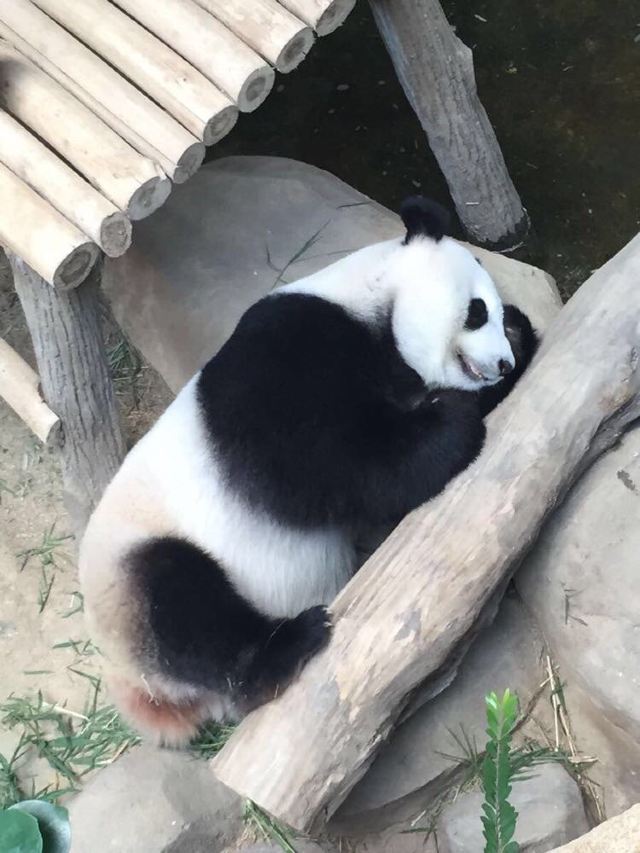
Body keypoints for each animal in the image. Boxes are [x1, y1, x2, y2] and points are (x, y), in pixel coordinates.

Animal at [81, 196, 540, 744]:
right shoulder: (285, 352)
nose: (502, 363)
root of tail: (132, 685)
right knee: (181, 607)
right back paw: (287, 647)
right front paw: (452, 421)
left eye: (493, 312)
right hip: (129, 576)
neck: (369, 301)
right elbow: (319, 466)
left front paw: (518, 338)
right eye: (476, 311)